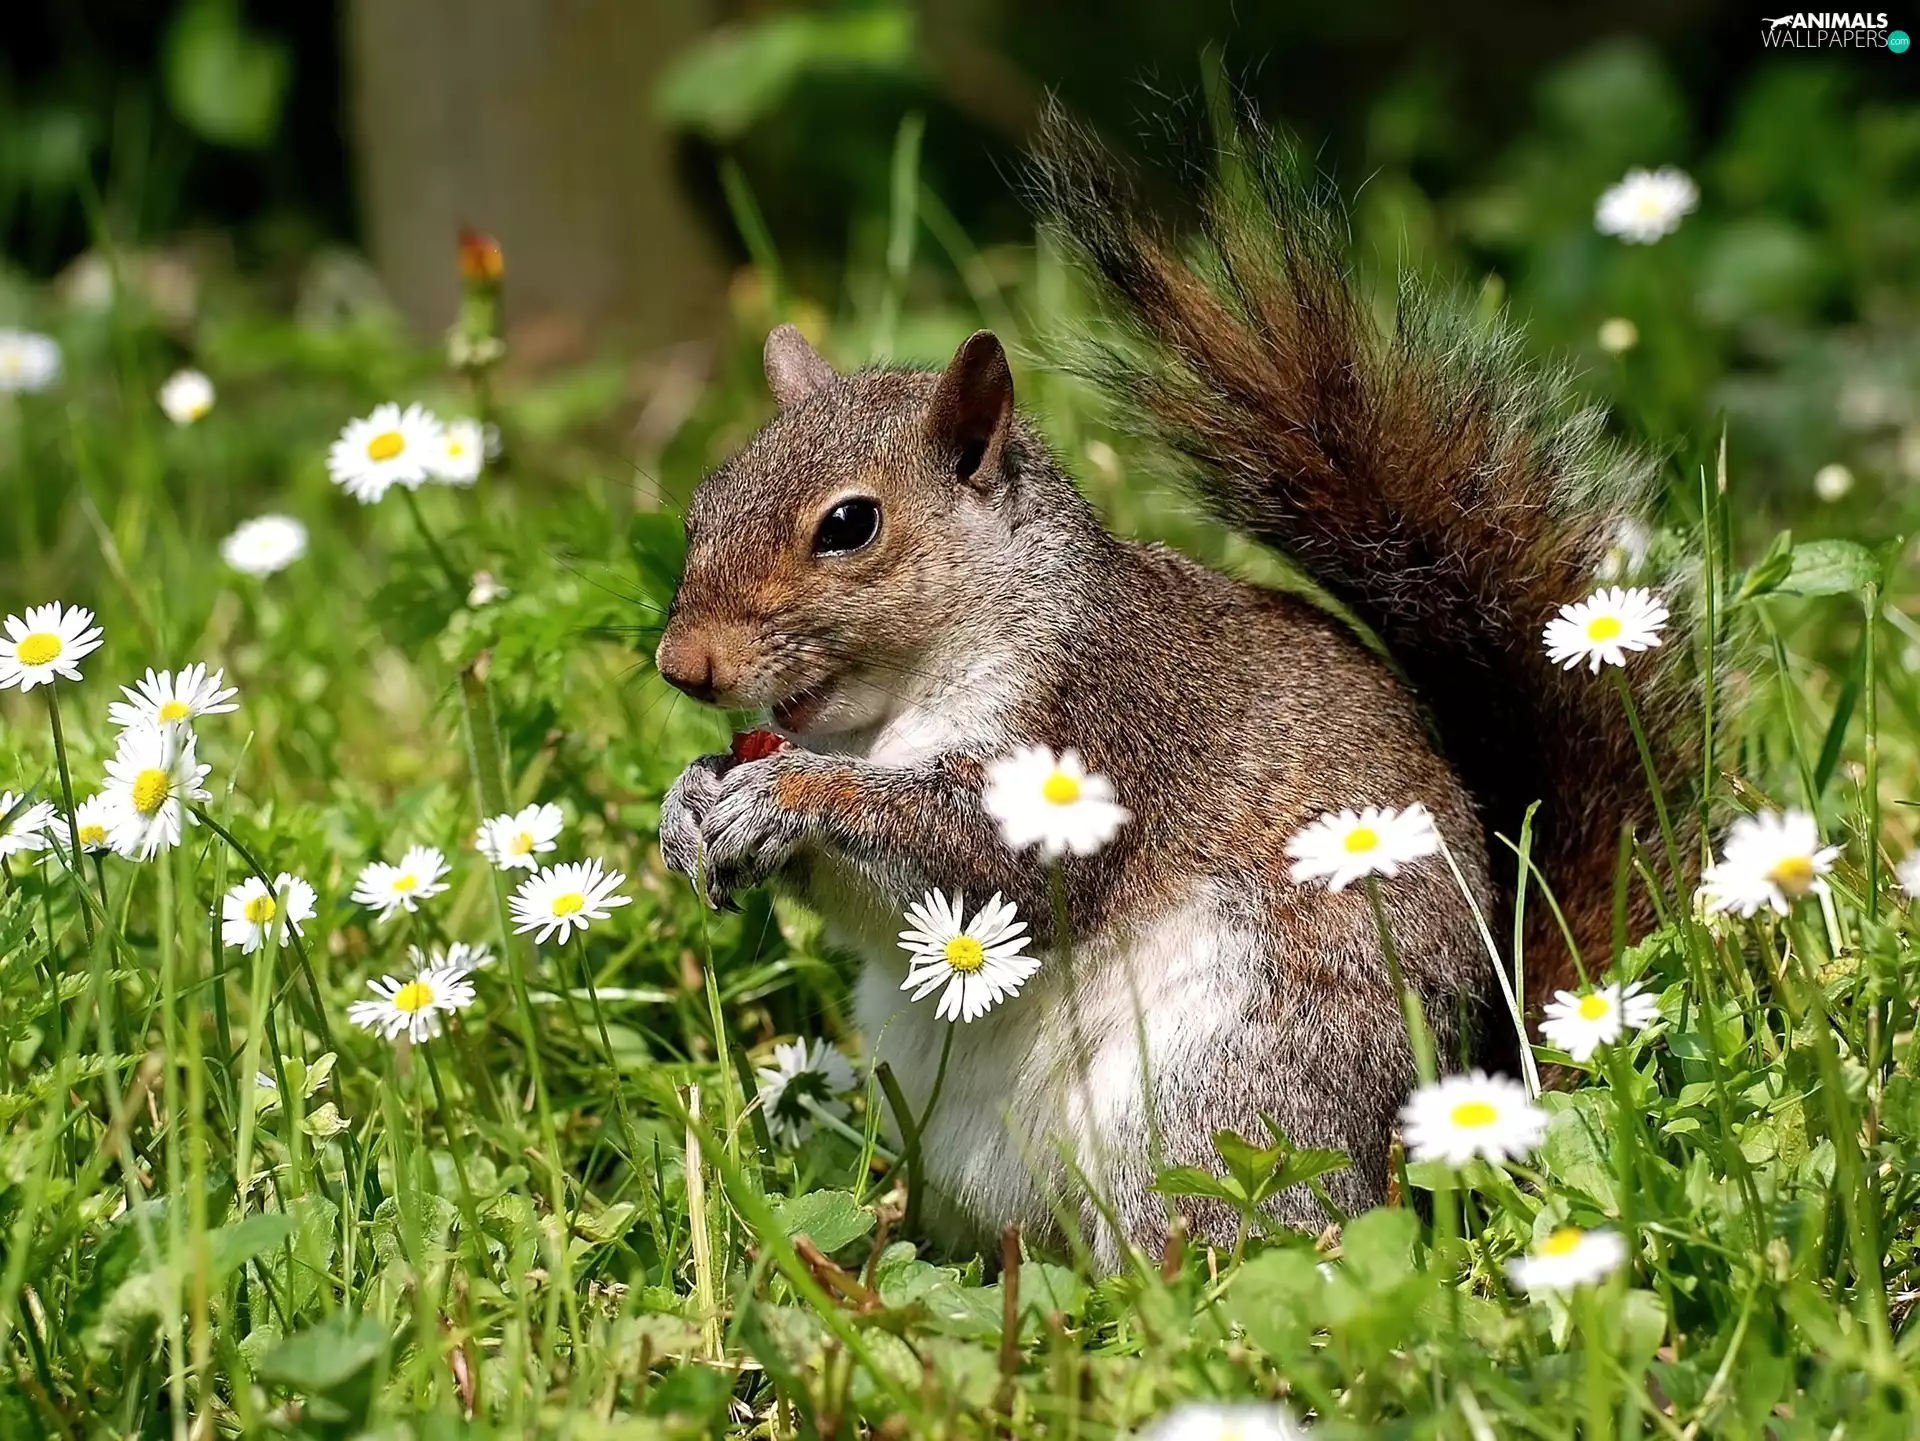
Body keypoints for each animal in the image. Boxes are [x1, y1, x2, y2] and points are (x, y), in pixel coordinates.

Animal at [653, 113, 1692, 1267]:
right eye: (705, 499)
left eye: (849, 524)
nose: (682, 666)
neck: (885, 711)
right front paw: (690, 799)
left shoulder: (1101, 725)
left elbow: (987, 864)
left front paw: (792, 796)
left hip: (1226, 1089)